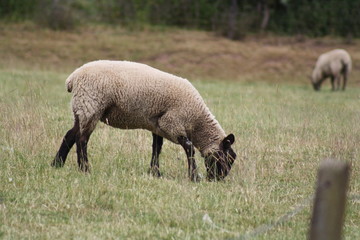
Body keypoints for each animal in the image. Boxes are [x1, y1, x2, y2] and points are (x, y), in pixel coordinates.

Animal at [52, 60, 236, 182]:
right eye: (228, 158)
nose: (218, 180)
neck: (197, 122)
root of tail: (72, 79)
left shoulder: (158, 126)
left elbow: (156, 148)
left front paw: (155, 173)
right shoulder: (172, 123)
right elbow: (189, 148)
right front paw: (194, 177)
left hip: (81, 108)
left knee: (70, 135)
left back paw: (57, 164)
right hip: (91, 105)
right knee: (81, 139)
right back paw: (85, 168)